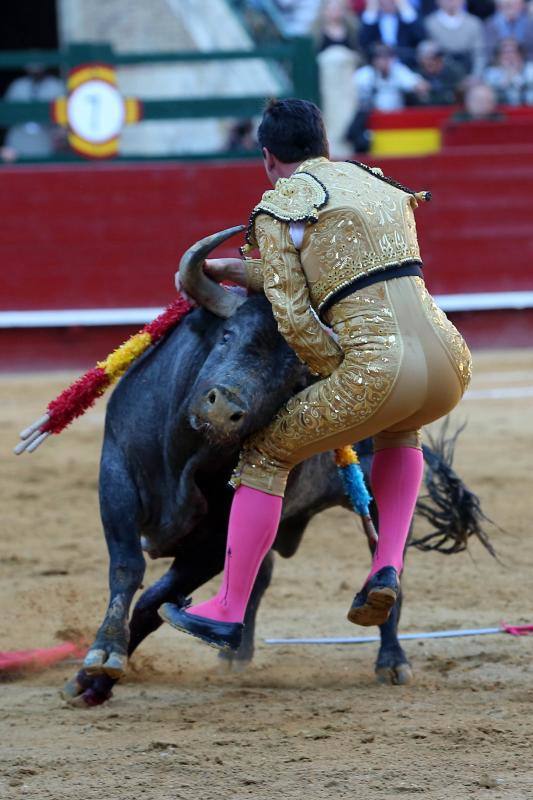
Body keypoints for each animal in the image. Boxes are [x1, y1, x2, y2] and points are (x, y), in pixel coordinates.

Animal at [60, 230, 488, 708]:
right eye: (227, 336)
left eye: (295, 376)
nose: (223, 408)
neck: (190, 458)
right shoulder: (116, 470)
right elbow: (127, 568)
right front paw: (99, 662)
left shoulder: (211, 543)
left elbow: (154, 600)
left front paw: (98, 676)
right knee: (260, 575)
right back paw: (235, 652)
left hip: (378, 498)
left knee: (387, 565)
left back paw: (392, 660)